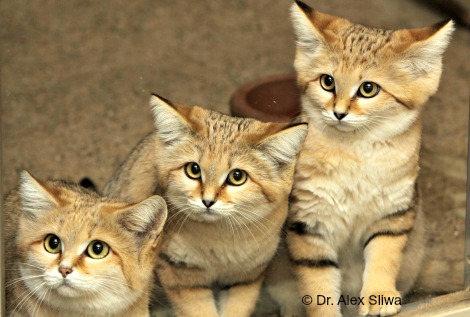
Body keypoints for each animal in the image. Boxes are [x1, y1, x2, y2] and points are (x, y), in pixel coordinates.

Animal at [103, 95, 308, 314]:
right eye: (193, 169)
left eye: (237, 176)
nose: (208, 201)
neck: (221, 238)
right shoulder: (182, 277)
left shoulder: (246, 277)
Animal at [276, 1, 456, 314]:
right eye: (327, 82)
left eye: (368, 88)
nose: (338, 113)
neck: (355, 155)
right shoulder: (309, 224)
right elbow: (318, 284)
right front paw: (325, 313)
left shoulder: (392, 214)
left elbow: (383, 259)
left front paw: (378, 296)